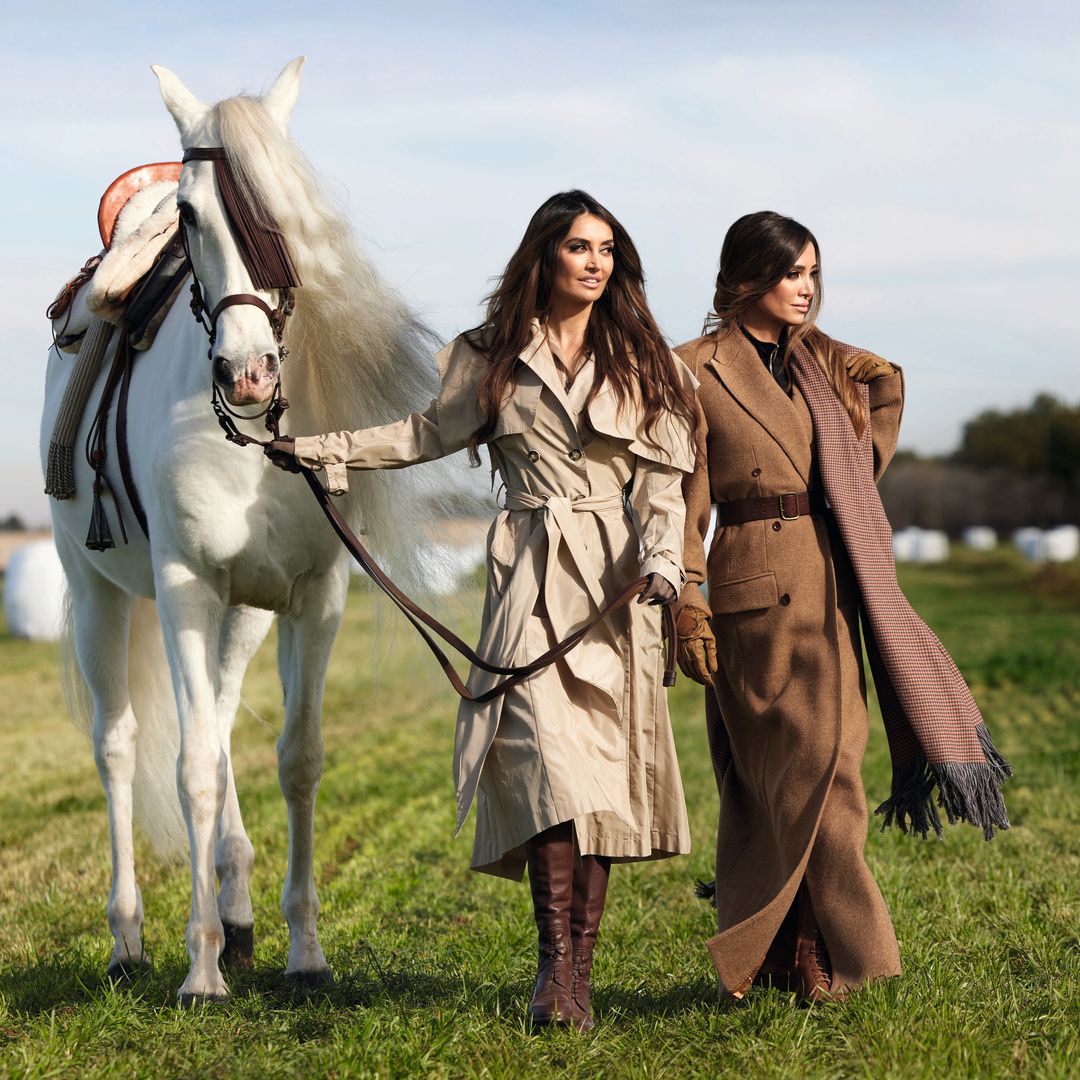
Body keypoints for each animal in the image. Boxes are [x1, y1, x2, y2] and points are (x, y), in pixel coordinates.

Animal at [39, 59, 434, 1002]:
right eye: (188, 217)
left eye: (283, 210)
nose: (247, 372)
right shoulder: (184, 589)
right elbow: (187, 772)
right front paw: (200, 968)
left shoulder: (315, 598)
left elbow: (296, 758)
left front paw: (304, 952)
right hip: (100, 593)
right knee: (121, 747)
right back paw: (130, 939)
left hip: (244, 614)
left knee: (217, 725)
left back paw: (240, 912)